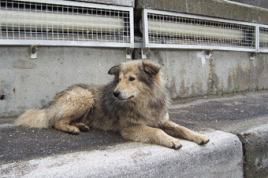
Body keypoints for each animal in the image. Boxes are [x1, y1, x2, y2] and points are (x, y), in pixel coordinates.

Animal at [15, 59, 209, 149]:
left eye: (132, 79)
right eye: (120, 79)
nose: (115, 93)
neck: (144, 102)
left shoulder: (161, 120)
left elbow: (182, 128)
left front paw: (199, 136)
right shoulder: (130, 127)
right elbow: (157, 131)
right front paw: (172, 140)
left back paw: (81, 125)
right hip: (84, 96)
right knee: (56, 121)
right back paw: (72, 128)